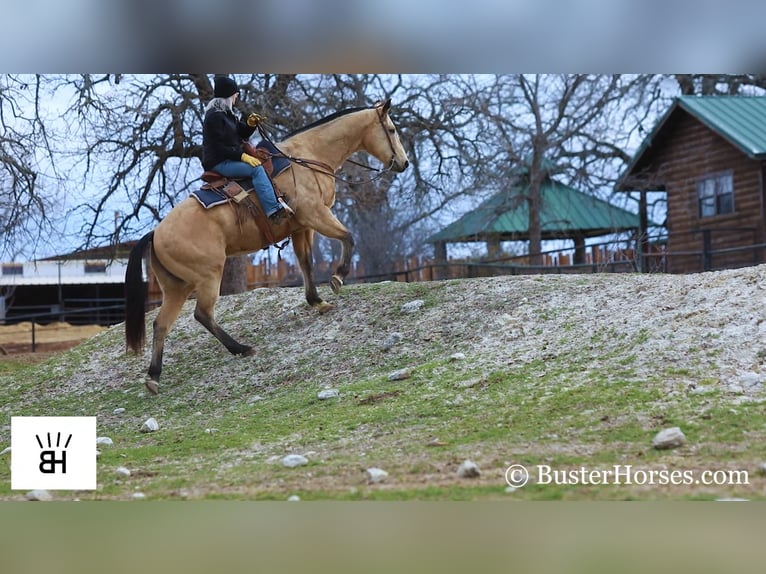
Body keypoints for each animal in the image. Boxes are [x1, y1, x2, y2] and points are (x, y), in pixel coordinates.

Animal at [125, 99, 412, 396]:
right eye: (391, 129)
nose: (404, 163)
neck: (308, 156)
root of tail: (155, 234)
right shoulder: (316, 215)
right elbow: (348, 238)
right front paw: (338, 277)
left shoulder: (301, 228)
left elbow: (306, 262)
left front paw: (317, 301)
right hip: (208, 276)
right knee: (202, 314)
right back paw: (241, 348)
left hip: (176, 288)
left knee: (161, 324)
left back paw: (154, 377)